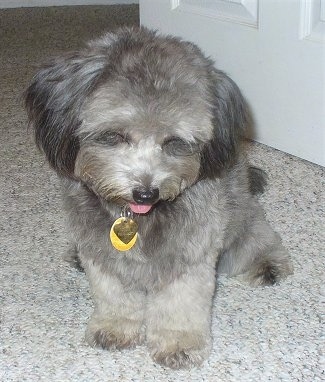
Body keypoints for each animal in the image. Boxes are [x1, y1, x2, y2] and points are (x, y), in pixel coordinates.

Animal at [24, 26, 292, 368]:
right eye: (114, 135)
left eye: (174, 141)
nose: (146, 192)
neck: (136, 219)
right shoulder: (101, 251)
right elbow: (114, 295)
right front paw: (115, 327)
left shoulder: (190, 252)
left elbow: (181, 302)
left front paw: (179, 343)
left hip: (241, 226)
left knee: (260, 239)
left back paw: (269, 264)